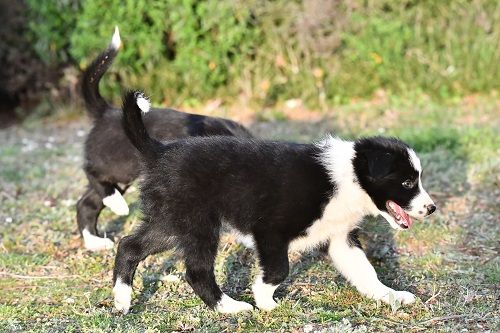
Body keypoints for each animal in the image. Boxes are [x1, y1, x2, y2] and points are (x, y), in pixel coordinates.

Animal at [77, 28, 254, 250]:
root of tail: (107, 112)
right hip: (119, 166)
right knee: (91, 172)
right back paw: (117, 203)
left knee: (86, 203)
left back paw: (95, 241)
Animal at [111, 91, 436, 314]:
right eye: (408, 183)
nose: (432, 208)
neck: (348, 177)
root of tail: (159, 151)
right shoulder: (270, 230)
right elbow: (280, 269)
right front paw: (264, 301)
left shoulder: (341, 237)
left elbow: (365, 272)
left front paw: (390, 295)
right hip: (198, 223)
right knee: (197, 271)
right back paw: (229, 307)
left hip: (171, 221)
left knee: (129, 246)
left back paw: (122, 300)